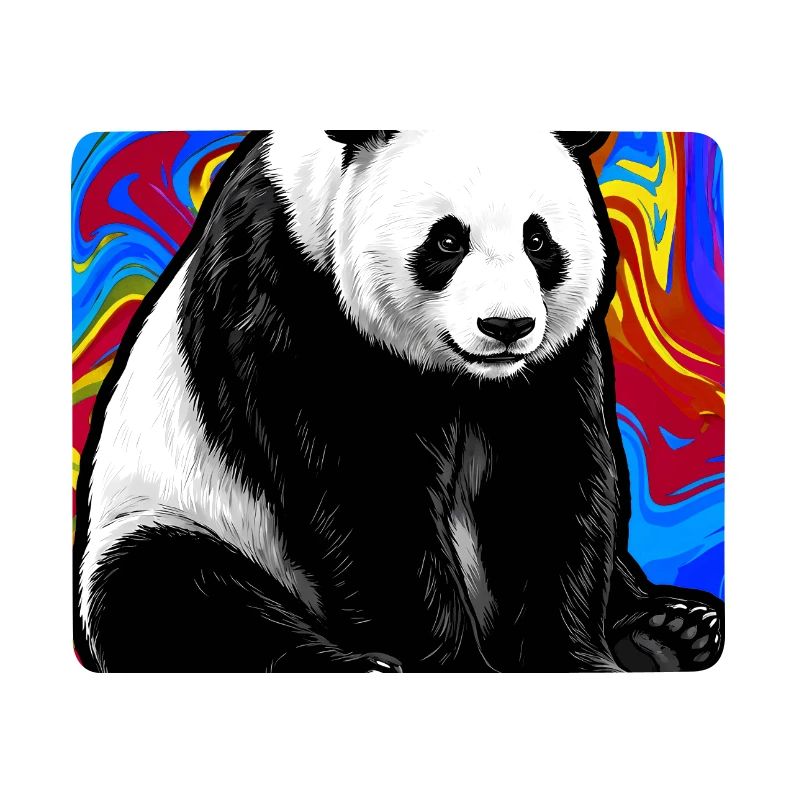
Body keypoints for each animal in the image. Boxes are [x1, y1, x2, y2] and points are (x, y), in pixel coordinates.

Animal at [74, 130, 724, 672]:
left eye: (538, 239)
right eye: (447, 239)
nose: (506, 326)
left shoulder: (548, 364)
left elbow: (548, 479)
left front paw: (570, 658)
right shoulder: (289, 291)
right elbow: (367, 488)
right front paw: (452, 666)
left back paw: (674, 630)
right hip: (173, 514)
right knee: (173, 594)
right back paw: (356, 667)